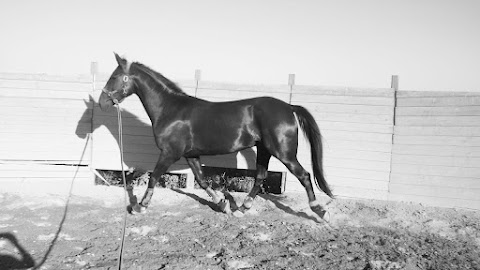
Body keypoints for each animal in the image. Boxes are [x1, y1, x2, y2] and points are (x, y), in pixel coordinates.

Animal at [97, 52, 330, 219]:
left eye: (114, 77)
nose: (102, 102)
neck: (170, 109)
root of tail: (289, 107)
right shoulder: (190, 155)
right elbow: (202, 180)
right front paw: (223, 204)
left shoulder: (169, 153)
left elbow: (154, 176)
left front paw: (140, 207)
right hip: (264, 149)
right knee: (260, 177)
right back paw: (241, 209)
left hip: (283, 153)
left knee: (304, 175)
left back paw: (319, 211)